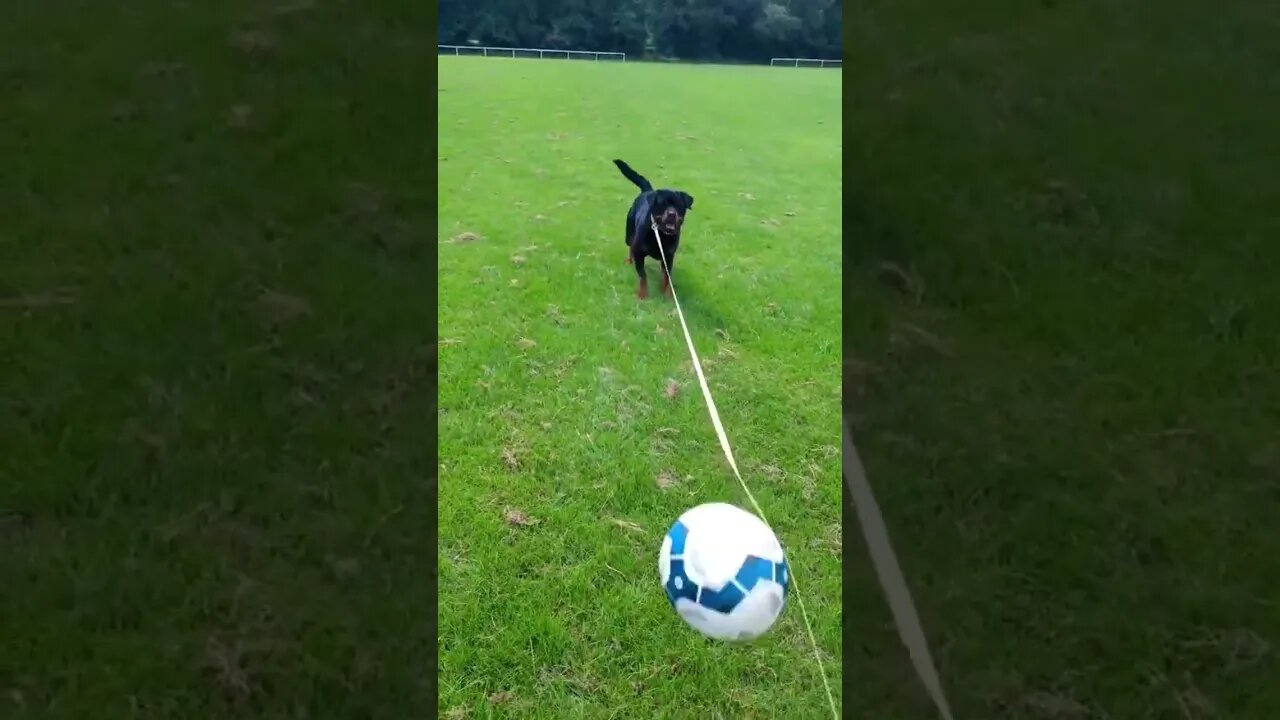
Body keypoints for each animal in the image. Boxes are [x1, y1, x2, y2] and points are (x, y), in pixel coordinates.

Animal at [614, 158, 696, 297]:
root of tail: (647, 191)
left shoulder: (669, 256)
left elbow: (667, 278)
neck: (661, 235)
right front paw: (643, 294)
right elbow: (643, 276)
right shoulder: (639, 253)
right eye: (663, 204)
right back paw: (629, 261)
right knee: (630, 247)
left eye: (679, 205)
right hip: (629, 234)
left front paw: (667, 294)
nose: (672, 213)